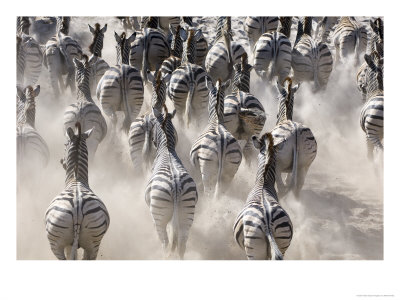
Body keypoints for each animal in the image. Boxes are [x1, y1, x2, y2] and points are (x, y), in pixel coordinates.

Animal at [44, 122, 110, 260]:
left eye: (65, 145)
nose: (61, 161)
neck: (76, 179)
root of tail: (78, 209)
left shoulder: (68, 245)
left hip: (56, 244)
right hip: (94, 243)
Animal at [145, 103, 198, 258]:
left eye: (152, 126)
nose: (152, 142)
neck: (167, 147)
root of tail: (175, 186)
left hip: (159, 215)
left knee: (165, 242)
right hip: (187, 215)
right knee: (181, 245)